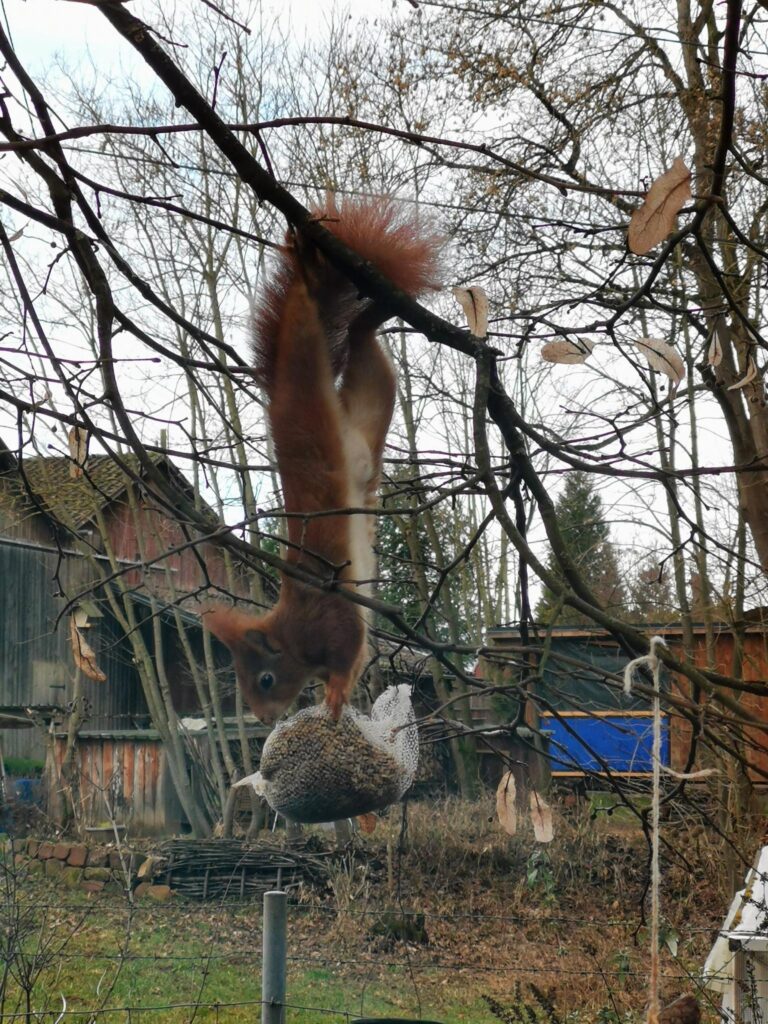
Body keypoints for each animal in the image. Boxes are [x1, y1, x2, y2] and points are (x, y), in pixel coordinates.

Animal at [204, 197, 442, 725]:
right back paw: (371, 310)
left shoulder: (332, 615)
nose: (265, 718)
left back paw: (310, 262)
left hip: (307, 366)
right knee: (361, 338)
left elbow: (351, 648)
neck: (293, 630)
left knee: (307, 305)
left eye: (265, 679)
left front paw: (335, 691)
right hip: (372, 396)